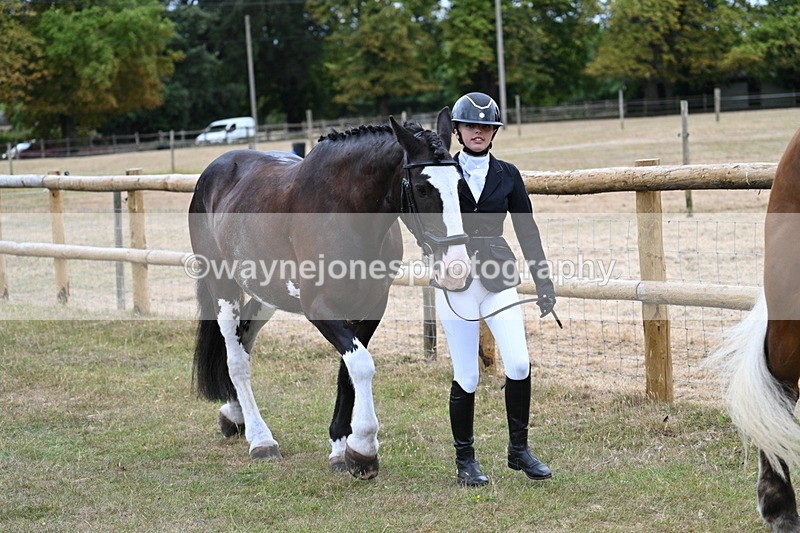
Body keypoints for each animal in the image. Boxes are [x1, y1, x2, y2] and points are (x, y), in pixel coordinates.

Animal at [187, 108, 471, 480]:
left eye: (461, 185)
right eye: (423, 188)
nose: (457, 268)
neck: (346, 211)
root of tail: (215, 170)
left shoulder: (371, 306)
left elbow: (347, 372)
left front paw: (341, 448)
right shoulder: (320, 308)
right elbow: (361, 365)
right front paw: (363, 449)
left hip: (266, 294)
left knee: (244, 340)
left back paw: (234, 416)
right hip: (222, 287)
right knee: (236, 361)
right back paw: (261, 440)